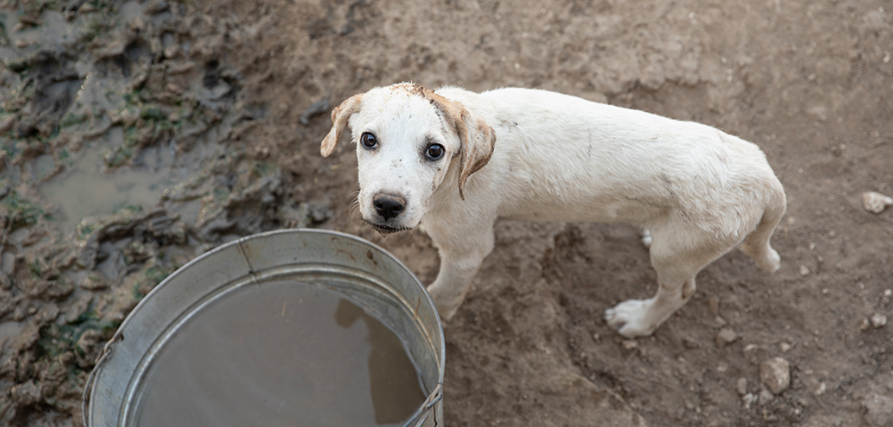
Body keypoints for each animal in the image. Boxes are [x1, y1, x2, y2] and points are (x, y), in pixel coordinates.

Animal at [318, 83, 780, 338]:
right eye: (368, 140)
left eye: (435, 150)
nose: (387, 205)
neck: (456, 174)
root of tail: (764, 174)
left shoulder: (467, 251)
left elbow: (439, 298)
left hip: (677, 253)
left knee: (679, 291)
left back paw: (638, 320)